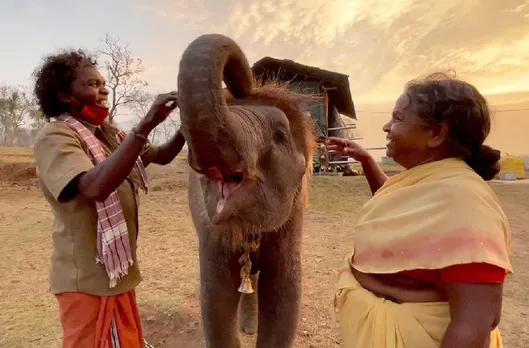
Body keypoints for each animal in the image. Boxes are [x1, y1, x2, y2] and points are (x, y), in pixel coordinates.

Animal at [175, 34, 316, 348]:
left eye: (279, 135)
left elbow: (284, 293)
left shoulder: (293, 216)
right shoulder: (209, 231)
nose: (244, 82)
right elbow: (215, 298)